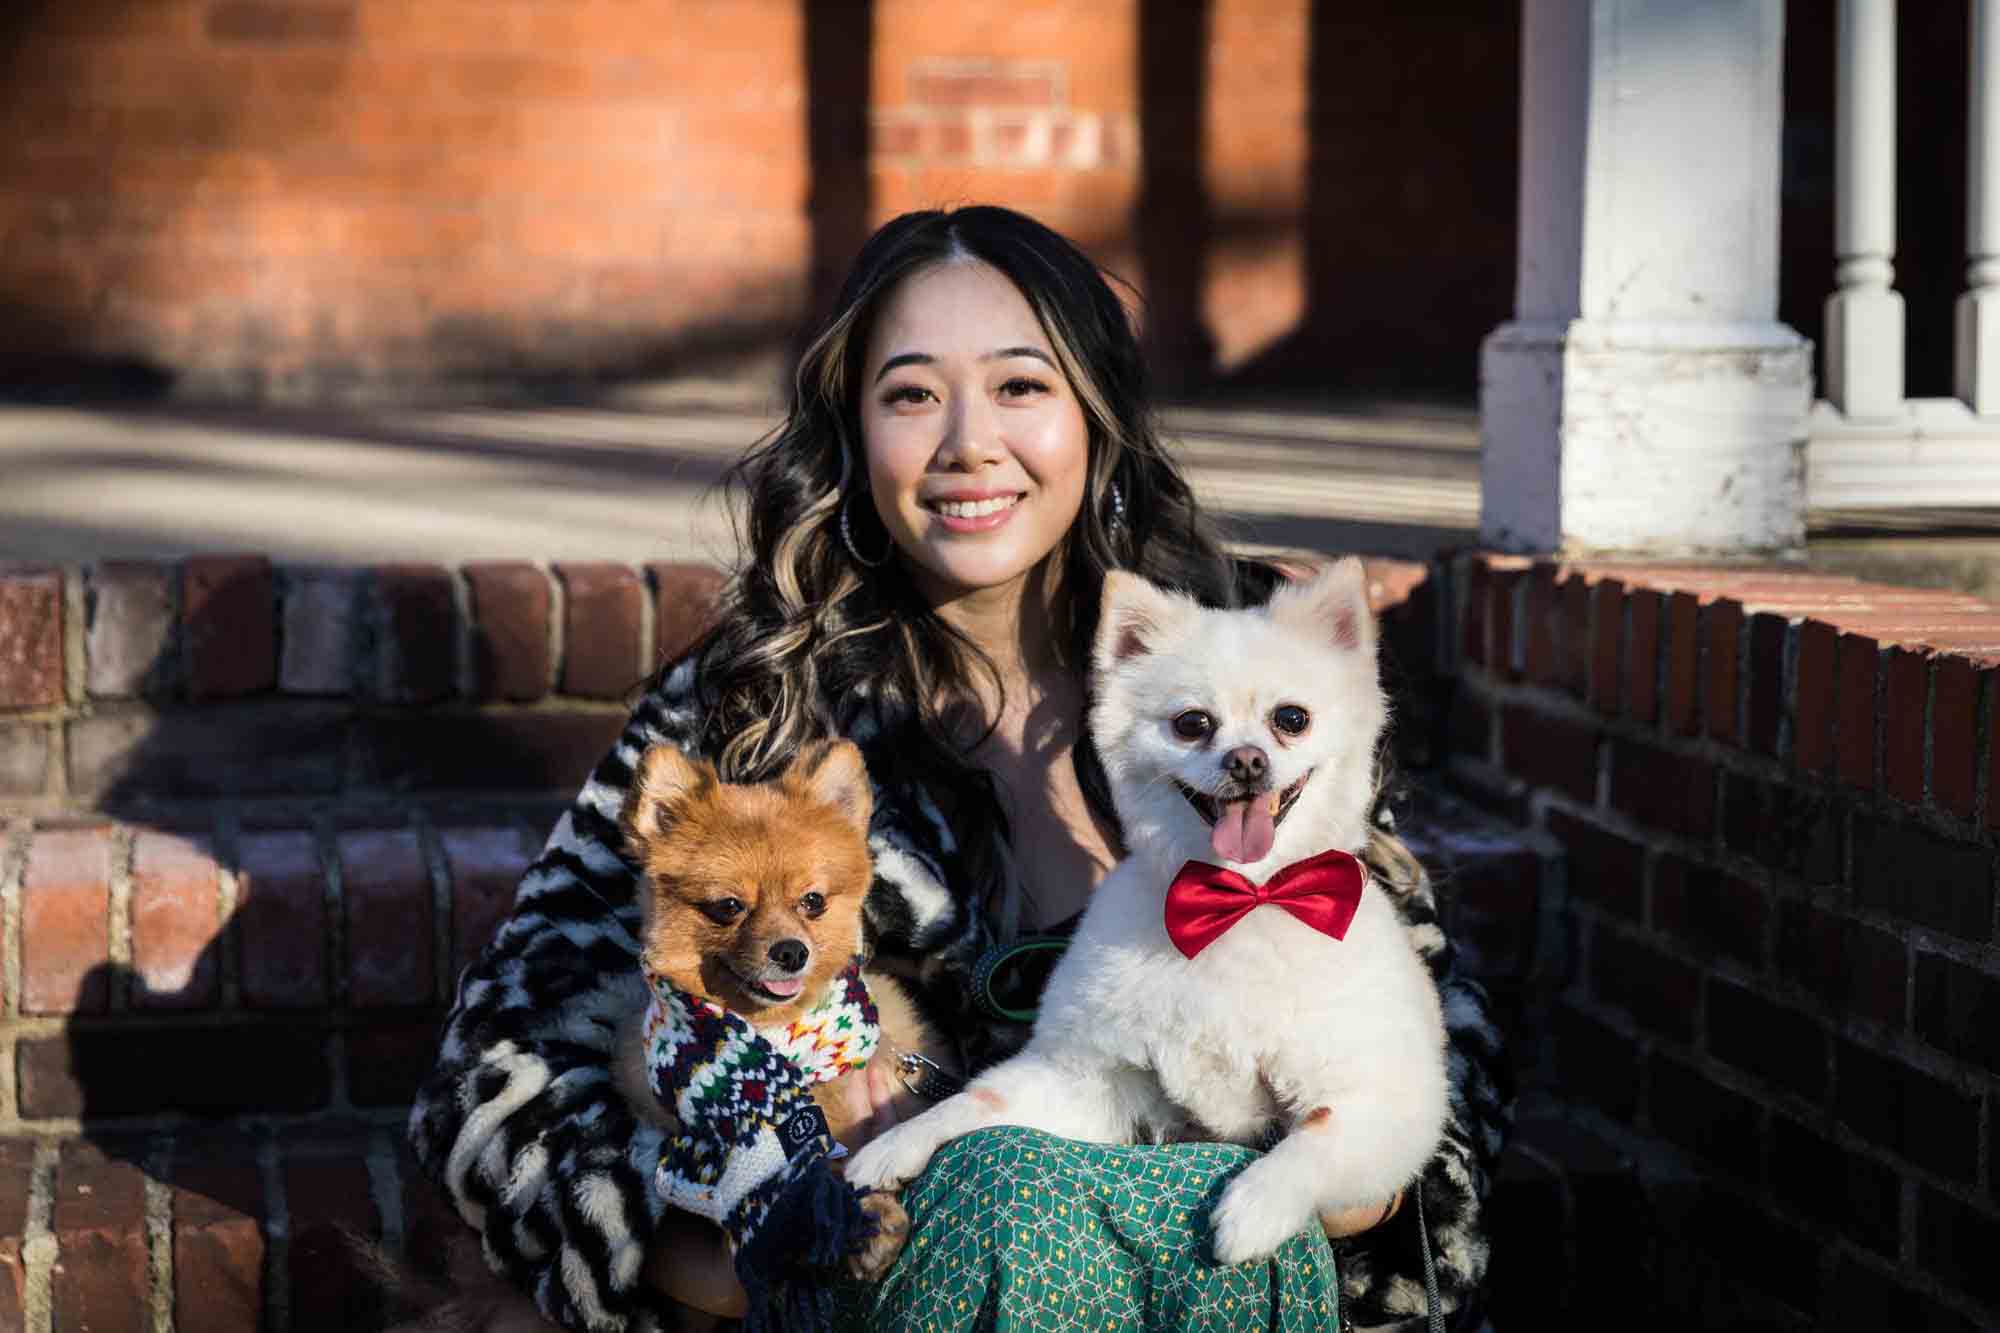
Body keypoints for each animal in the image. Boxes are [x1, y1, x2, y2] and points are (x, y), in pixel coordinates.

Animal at [836, 556, 1448, 1264]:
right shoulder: (1093, 1079)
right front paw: (896, 1143)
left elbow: (1315, 1136)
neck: (1241, 903)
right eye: (1192, 724)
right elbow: (976, 1099)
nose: (1247, 760)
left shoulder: (1391, 1104)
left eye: (1291, 719)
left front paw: (1256, 1207)